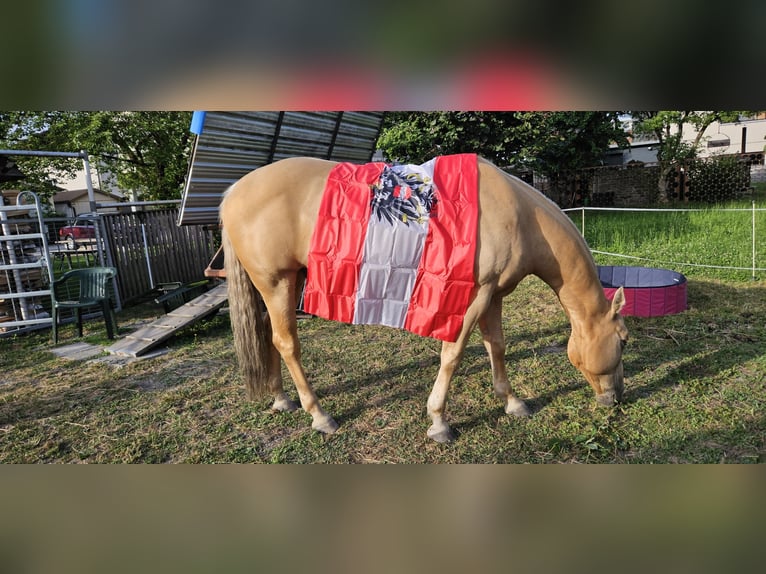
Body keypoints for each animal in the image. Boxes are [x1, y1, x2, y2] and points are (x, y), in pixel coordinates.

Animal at [219, 155, 628, 444]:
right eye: (623, 341)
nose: (617, 399)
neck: (520, 215)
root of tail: (233, 192)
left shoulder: (493, 294)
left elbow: (496, 346)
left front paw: (512, 402)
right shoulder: (474, 296)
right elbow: (453, 355)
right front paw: (439, 422)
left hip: (281, 284)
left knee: (268, 336)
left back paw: (281, 398)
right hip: (277, 283)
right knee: (286, 342)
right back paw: (319, 415)